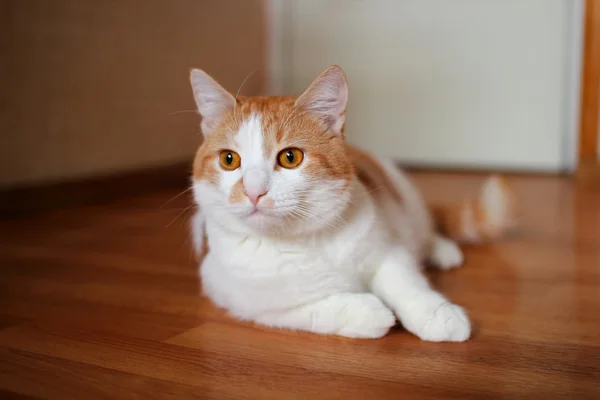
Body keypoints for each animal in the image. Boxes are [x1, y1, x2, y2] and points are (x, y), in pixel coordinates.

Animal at [188, 65, 516, 340]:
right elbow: (311, 310)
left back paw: (441, 249)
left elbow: (406, 281)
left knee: (423, 230)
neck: (301, 241)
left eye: (290, 157)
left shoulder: (388, 250)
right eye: (229, 160)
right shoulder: (244, 300)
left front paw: (438, 315)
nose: (254, 191)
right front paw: (369, 312)